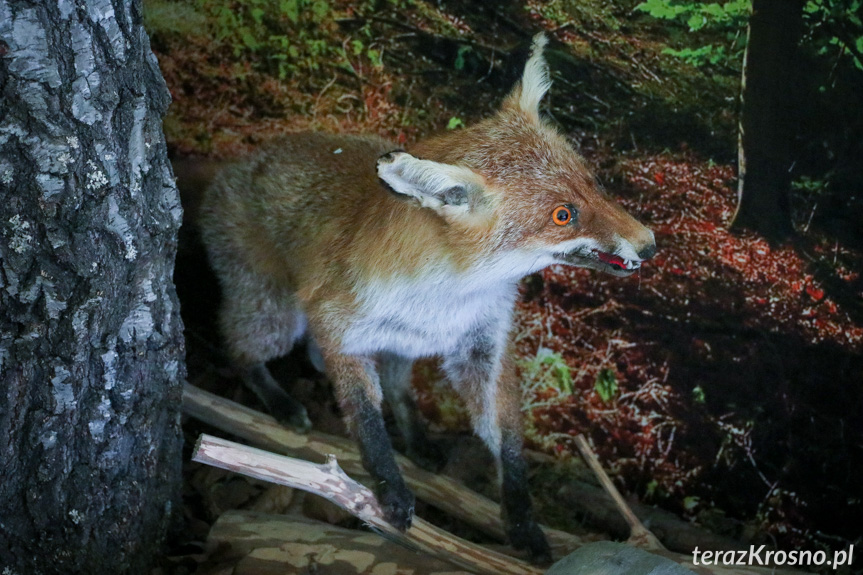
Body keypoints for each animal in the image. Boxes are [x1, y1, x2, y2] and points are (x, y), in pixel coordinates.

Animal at [197, 32, 656, 564]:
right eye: (564, 215)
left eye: (594, 184)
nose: (650, 244)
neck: (448, 297)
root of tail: (234, 164)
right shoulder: (338, 329)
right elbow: (367, 421)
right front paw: (390, 489)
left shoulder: (484, 346)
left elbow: (505, 441)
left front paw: (523, 523)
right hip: (279, 319)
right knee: (239, 349)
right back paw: (278, 401)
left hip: (395, 344)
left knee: (395, 386)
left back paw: (418, 441)